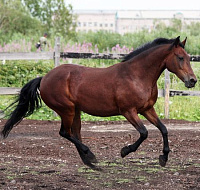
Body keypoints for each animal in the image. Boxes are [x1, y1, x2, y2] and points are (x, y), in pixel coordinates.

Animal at [0, 36, 197, 169]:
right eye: (180, 57)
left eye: (189, 57)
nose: (193, 81)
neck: (137, 75)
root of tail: (44, 78)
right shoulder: (128, 111)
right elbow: (144, 133)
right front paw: (124, 151)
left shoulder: (147, 109)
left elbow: (163, 129)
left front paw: (163, 158)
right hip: (67, 110)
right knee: (65, 132)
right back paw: (90, 155)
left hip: (76, 111)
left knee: (75, 133)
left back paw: (91, 161)